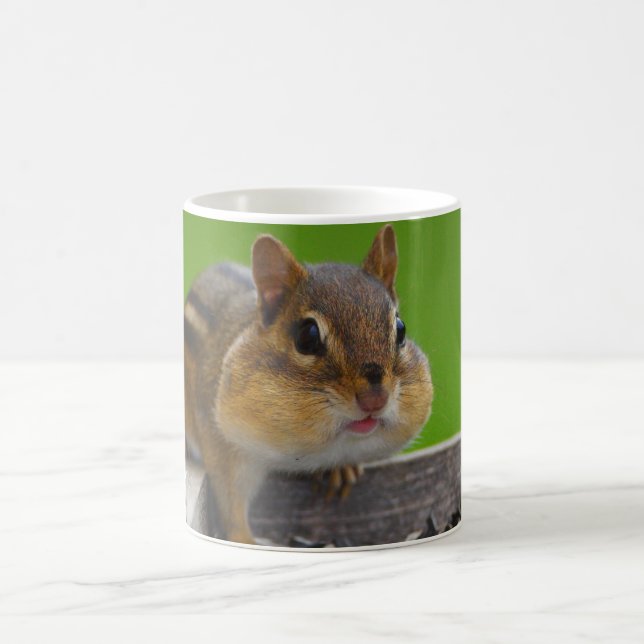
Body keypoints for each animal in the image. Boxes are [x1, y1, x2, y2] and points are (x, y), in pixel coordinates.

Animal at [184, 225, 433, 544]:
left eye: (400, 330)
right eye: (307, 336)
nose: (375, 399)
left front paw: (341, 470)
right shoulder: (222, 445)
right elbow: (230, 500)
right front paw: (243, 539)